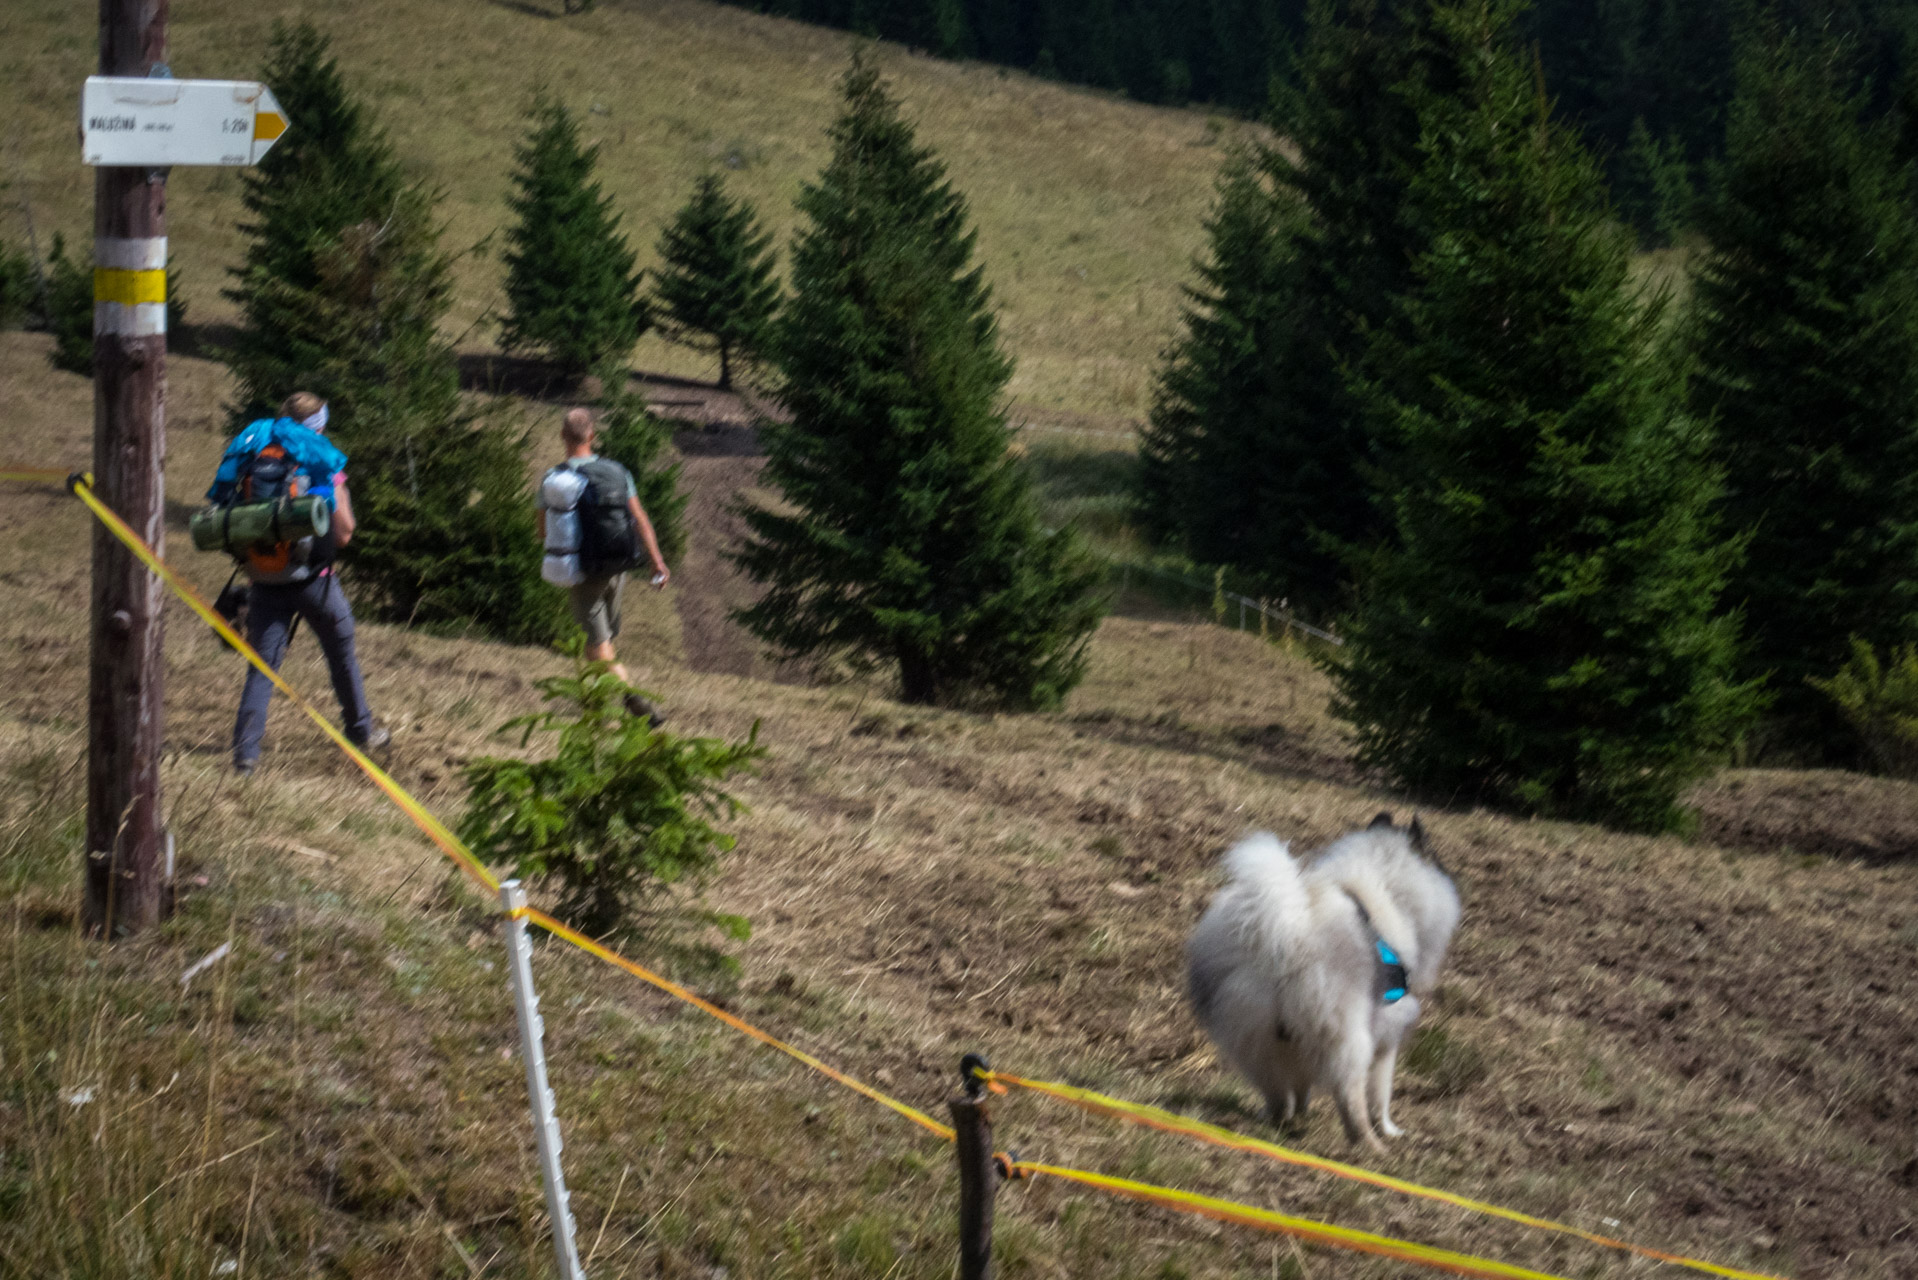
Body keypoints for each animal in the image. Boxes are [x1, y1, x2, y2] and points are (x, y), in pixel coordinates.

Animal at [1173, 817, 1457, 1159]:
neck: (1386, 888)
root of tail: (1285, 933)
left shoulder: (1294, 1046)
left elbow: (1301, 1083)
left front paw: (1302, 1110)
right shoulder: (1387, 1035)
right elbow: (1381, 1096)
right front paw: (1390, 1130)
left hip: (1254, 1038)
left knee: (1275, 1092)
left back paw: (1278, 1120)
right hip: (1348, 1038)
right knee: (1350, 1098)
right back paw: (1371, 1147)